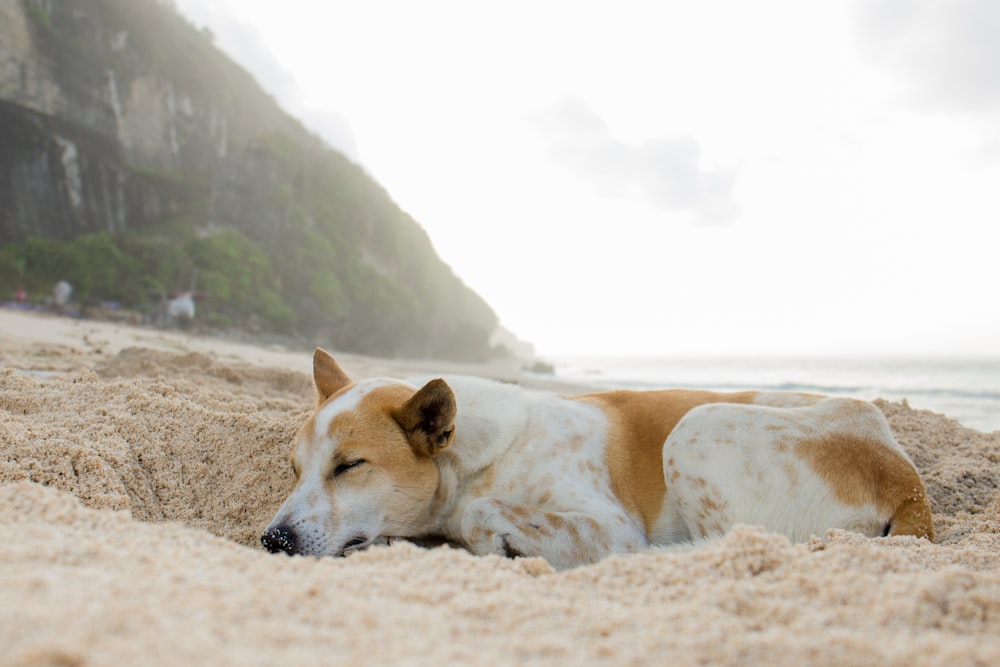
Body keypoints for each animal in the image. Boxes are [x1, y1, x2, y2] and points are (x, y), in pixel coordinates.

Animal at [262, 350, 932, 568]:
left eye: (350, 466)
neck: (471, 460)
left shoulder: (609, 525)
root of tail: (907, 477)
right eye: (294, 469)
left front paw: (489, 541)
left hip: (696, 427)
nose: (272, 540)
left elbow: (482, 514)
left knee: (730, 543)